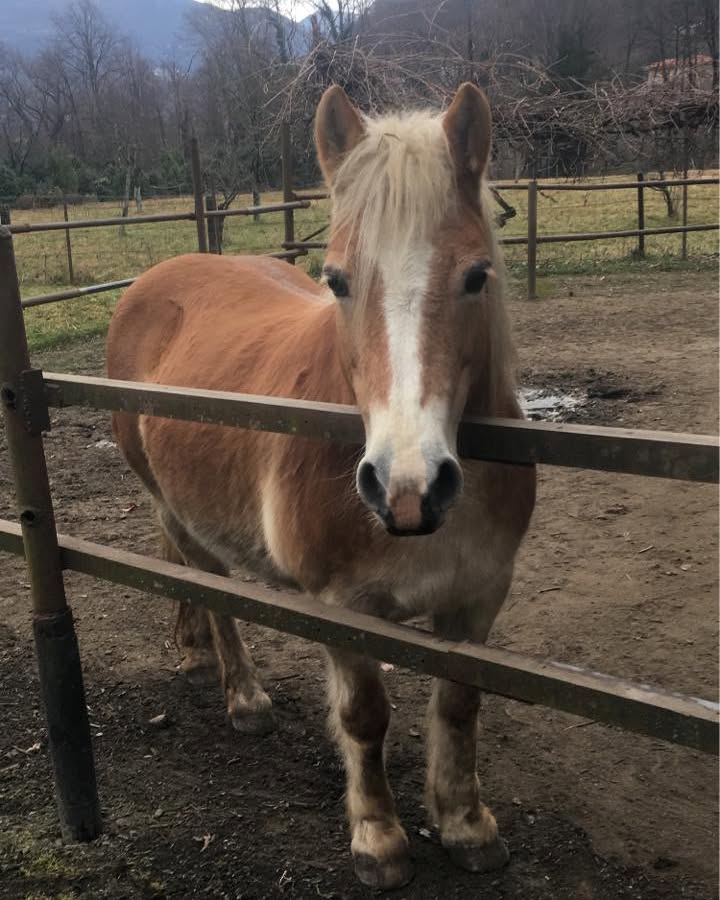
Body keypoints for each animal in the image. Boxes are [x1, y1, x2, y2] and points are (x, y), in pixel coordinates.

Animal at [106, 83, 536, 890]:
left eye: (476, 276)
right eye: (336, 280)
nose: (408, 486)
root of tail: (157, 277)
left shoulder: (480, 595)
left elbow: (460, 705)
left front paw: (465, 825)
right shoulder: (342, 607)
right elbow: (364, 715)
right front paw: (379, 839)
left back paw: (191, 648)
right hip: (176, 506)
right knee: (212, 587)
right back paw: (242, 695)